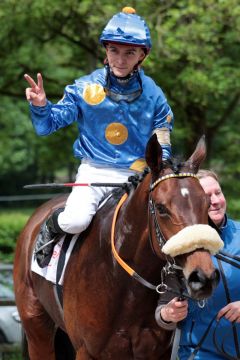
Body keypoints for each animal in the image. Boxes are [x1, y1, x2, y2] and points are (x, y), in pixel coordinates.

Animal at [14, 136, 222, 360]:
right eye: (161, 208)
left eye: (207, 203)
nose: (203, 277)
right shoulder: (87, 351)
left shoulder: (157, 352)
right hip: (36, 327)